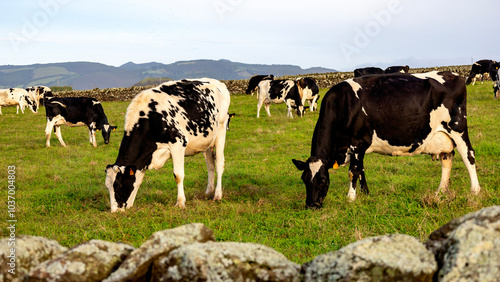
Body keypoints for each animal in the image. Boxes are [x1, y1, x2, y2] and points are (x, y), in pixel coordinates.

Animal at [106, 77, 231, 212]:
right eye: (108, 187)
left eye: (118, 186)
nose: (115, 212)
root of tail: (217, 82)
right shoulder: (145, 157)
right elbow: (139, 179)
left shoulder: (178, 143)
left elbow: (178, 175)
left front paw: (180, 202)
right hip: (207, 141)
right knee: (210, 165)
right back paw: (209, 192)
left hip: (221, 128)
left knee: (219, 163)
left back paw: (217, 195)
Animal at [292, 72, 480, 209]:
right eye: (304, 179)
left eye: (323, 179)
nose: (311, 205)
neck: (342, 104)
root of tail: (453, 74)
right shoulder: (357, 149)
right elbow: (361, 170)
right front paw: (365, 193)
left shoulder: (357, 143)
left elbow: (353, 171)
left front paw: (350, 198)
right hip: (442, 137)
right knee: (447, 159)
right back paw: (440, 192)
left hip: (457, 128)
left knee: (468, 155)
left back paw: (475, 191)